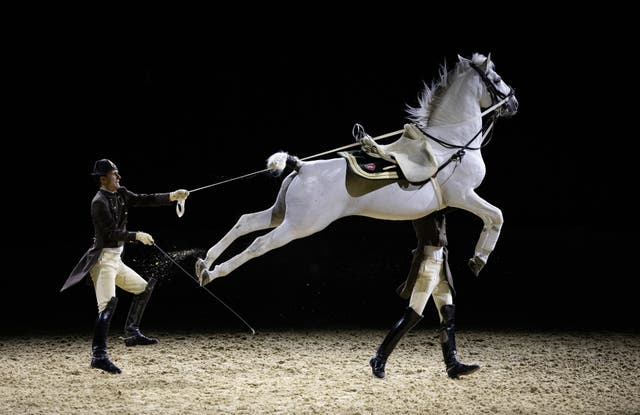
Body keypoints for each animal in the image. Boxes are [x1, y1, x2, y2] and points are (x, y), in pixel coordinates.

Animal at [198, 52, 516, 286]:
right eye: (497, 78)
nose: (514, 101)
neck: (450, 144)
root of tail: (301, 167)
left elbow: (493, 217)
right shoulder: (462, 195)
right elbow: (496, 216)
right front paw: (478, 259)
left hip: (281, 213)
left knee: (246, 222)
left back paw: (204, 263)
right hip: (299, 225)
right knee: (259, 243)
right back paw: (212, 274)